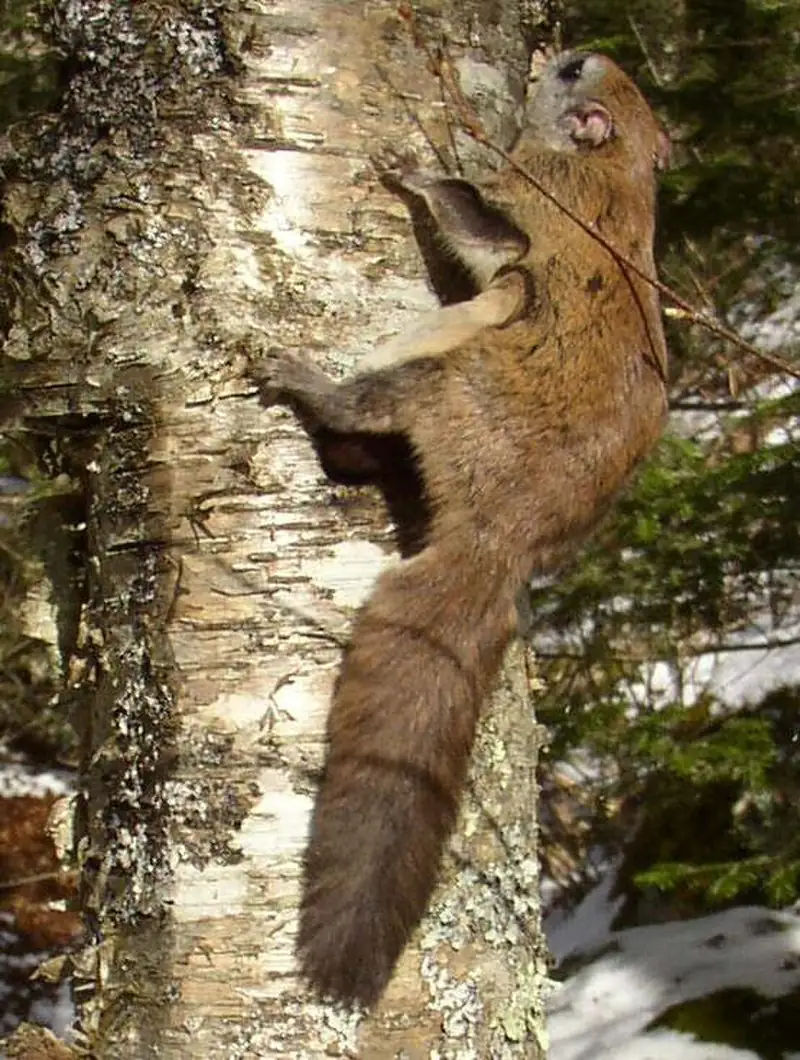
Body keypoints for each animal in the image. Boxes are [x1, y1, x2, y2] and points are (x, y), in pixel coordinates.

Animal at [248, 51, 670, 1007]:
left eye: (572, 71)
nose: (560, 49)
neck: (613, 170)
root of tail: (499, 541)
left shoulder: (529, 215)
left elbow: (474, 220)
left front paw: (410, 161)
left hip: (444, 379)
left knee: (365, 410)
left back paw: (304, 383)